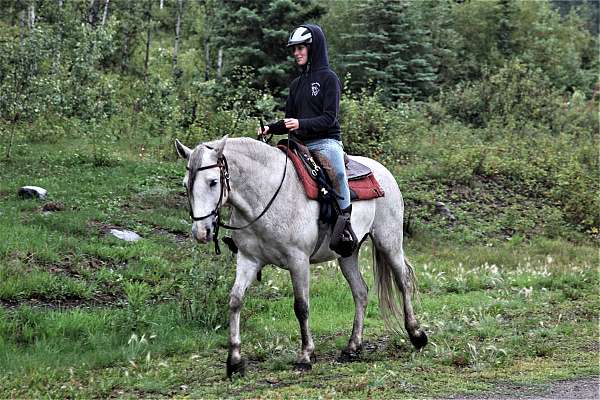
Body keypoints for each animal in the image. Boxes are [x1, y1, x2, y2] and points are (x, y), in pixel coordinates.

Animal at [173, 136, 426, 376]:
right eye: (186, 184)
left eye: (213, 182)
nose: (201, 232)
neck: (265, 195)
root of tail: (383, 172)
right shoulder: (248, 259)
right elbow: (235, 301)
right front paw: (234, 361)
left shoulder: (298, 261)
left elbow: (301, 307)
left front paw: (305, 356)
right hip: (347, 254)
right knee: (361, 292)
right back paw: (352, 347)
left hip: (388, 241)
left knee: (403, 282)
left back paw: (416, 335)